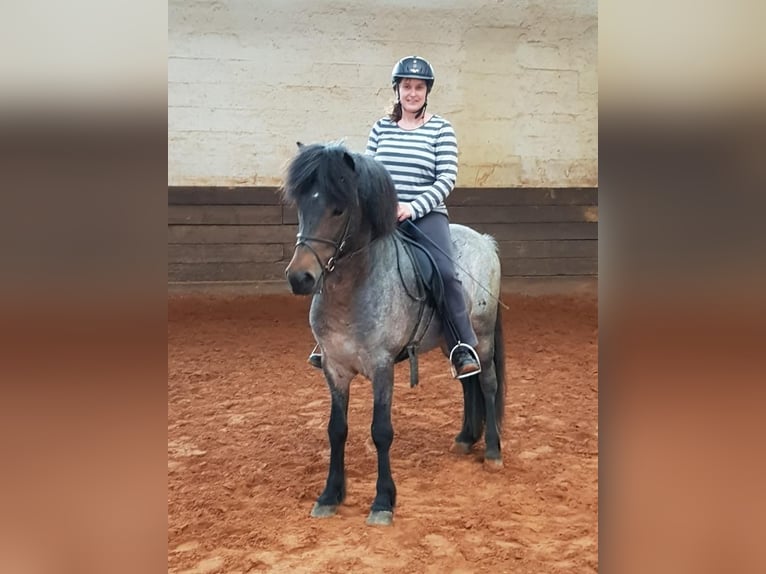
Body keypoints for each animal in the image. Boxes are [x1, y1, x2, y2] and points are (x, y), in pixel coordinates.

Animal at [280, 143, 504, 528]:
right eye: (302, 206)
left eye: (339, 209)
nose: (300, 278)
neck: (354, 288)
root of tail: (484, 241)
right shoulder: (335, 369)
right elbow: (336, 429)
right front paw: (330, 496)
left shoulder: (382, 367)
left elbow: (381, 431)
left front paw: (383, 501)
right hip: (452, 341)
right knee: (467, 380)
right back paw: (465, 438)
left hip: (484, 335)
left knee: (487, 384)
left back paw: (491, 451)